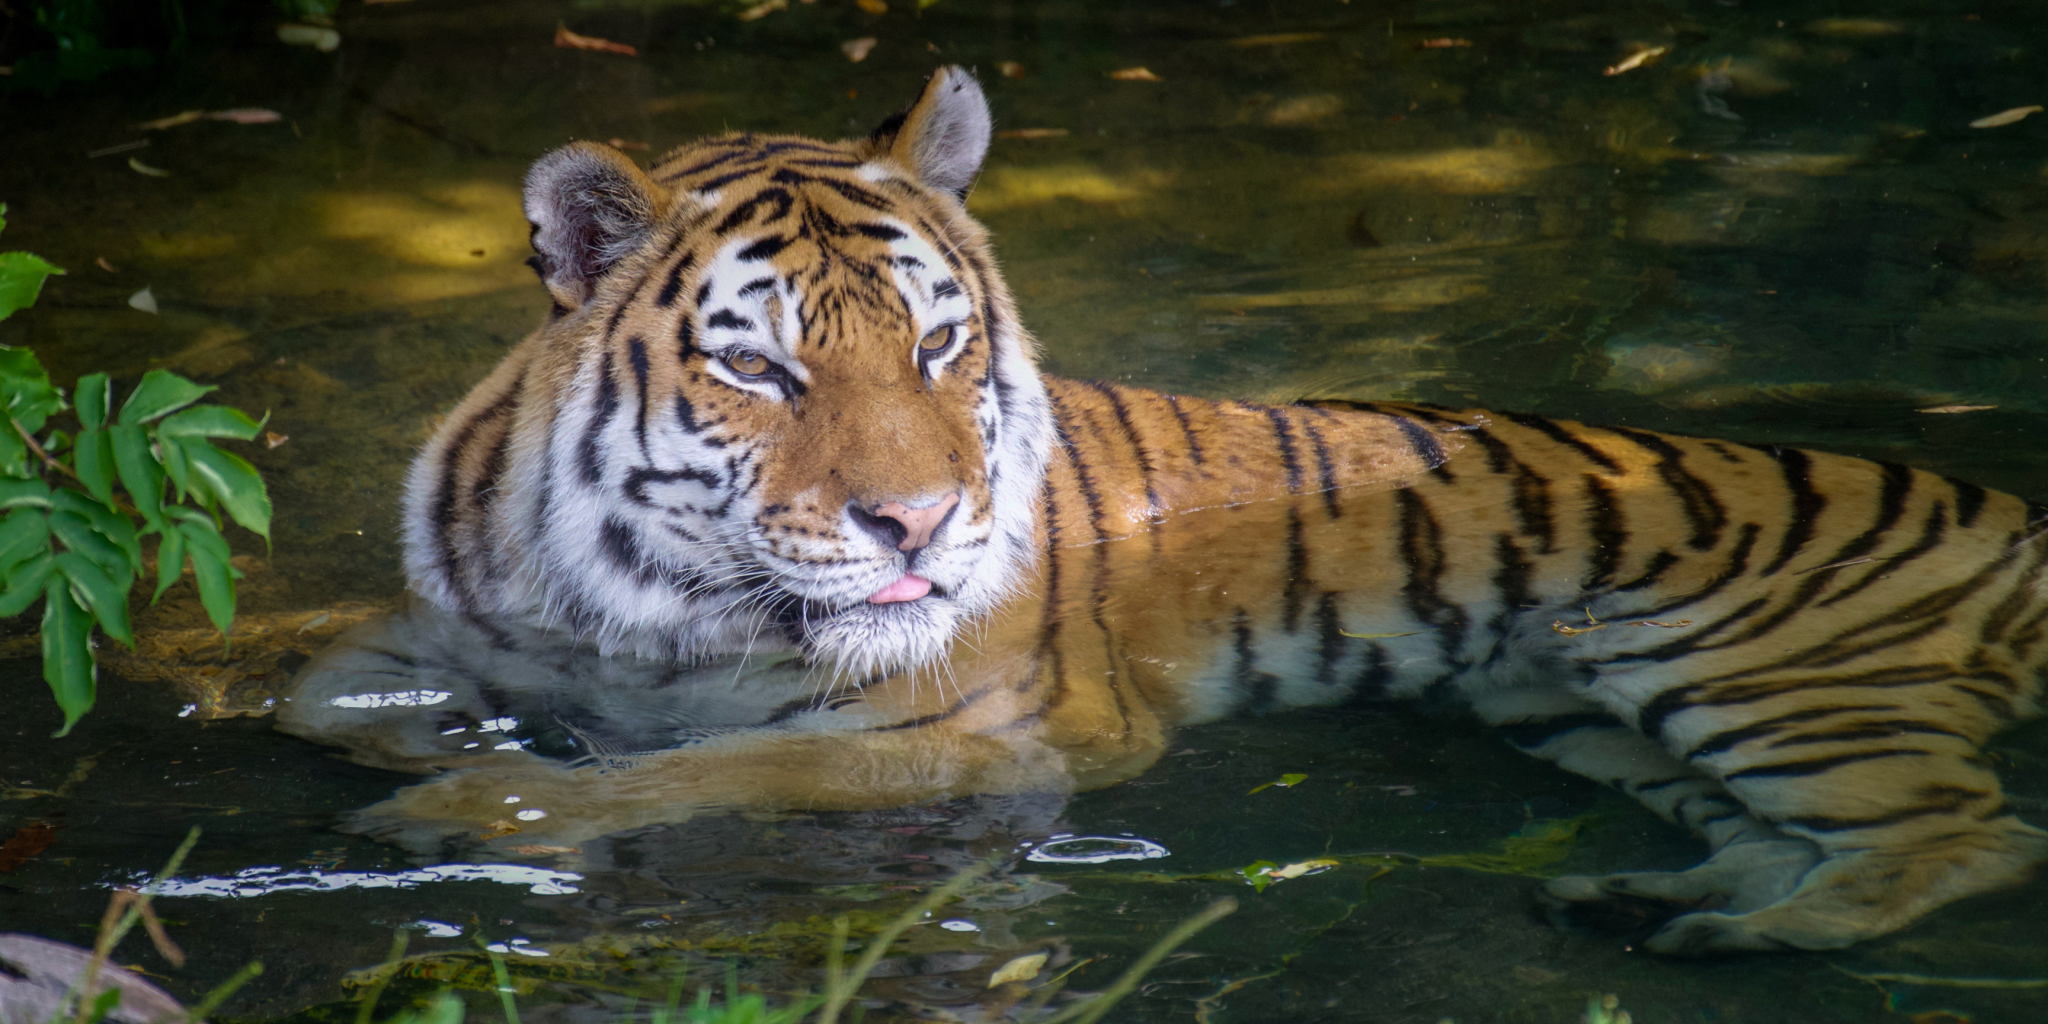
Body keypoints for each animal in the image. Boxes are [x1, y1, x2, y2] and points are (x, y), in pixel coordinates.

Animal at [344, 68, 2039, 954]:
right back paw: (1667, 908)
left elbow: (711, 774)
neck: (640, 593)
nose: (920, 525)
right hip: (1571, 707)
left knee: (1972, 834)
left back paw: (1769, 935)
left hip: (1762, 678)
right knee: (1772, 830)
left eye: (937, 345)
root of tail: (2010, 506)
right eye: (757, 366)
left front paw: (464, 814)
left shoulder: (981, 735)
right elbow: (363, 682)